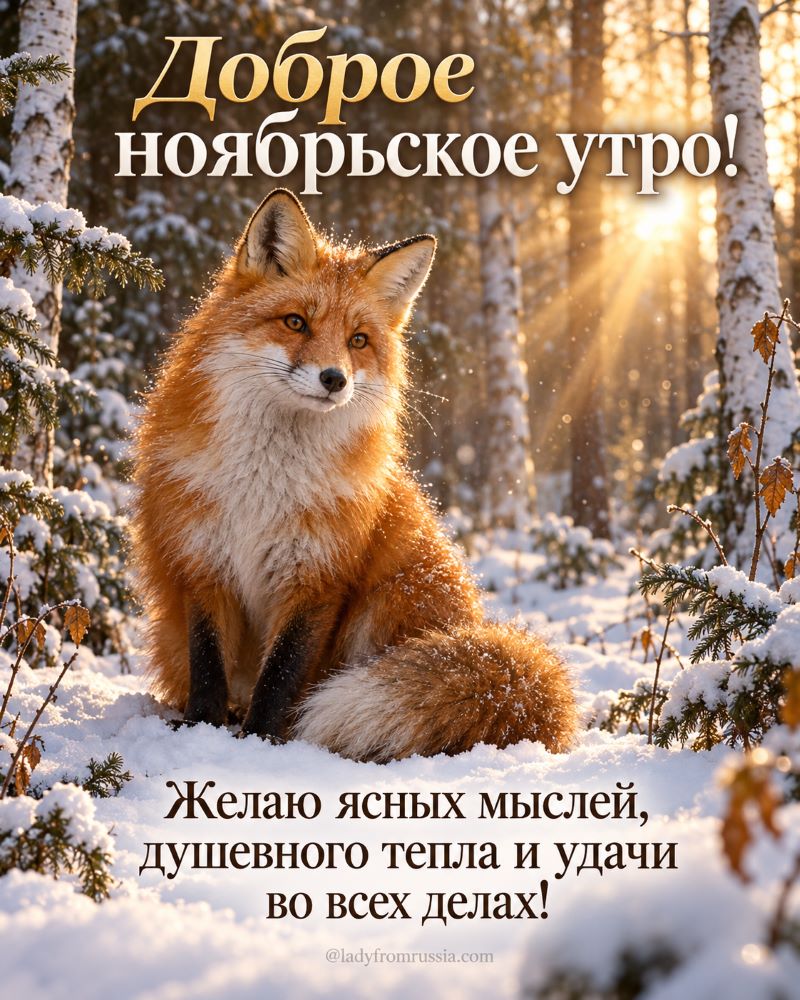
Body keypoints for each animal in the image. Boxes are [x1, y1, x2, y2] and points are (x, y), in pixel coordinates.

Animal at [132, 188, 577, 762]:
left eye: (358, 340)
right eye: (296, 322)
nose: (334, 379)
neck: (265, 483)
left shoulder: (319, 577)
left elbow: (282, 678)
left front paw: (261, 746)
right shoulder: (203, 563)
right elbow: (208, 670)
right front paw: (199, 735)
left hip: (389, 600)